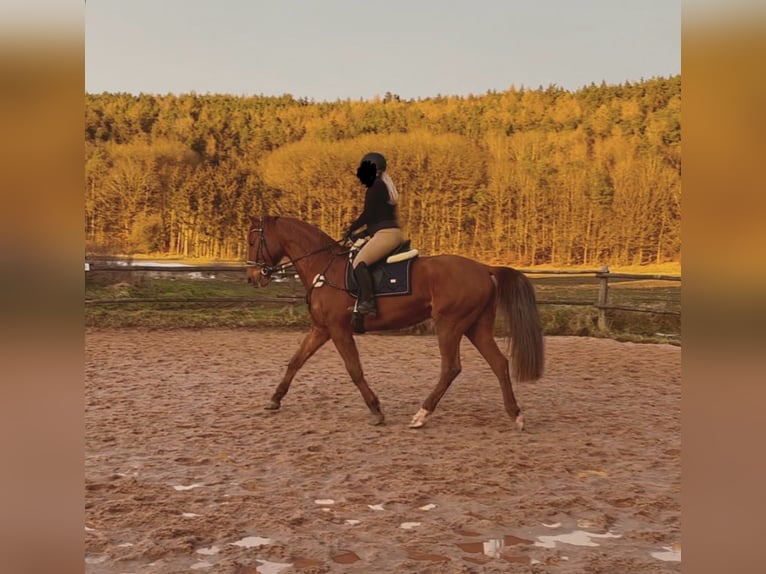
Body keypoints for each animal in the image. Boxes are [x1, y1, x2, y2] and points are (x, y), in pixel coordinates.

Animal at [246, 215, 544, 430]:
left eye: (252, 241)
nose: (252, 277)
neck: (324, 267)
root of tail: (484, 268)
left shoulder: (339, 329)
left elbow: (354, 370)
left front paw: (376, 411)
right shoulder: (321, 329)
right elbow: (295, 361)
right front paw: (274, 399)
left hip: (450, 325)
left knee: (451, 368)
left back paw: (422, 415)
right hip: (476, 327)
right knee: (499, 363)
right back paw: (516, 415)